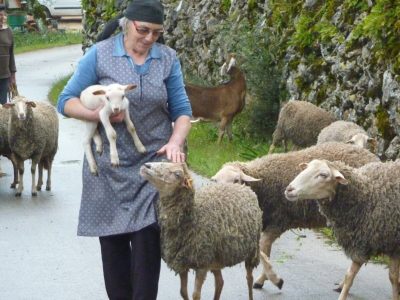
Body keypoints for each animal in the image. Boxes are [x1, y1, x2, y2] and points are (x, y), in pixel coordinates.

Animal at [141, 162, 262, 300]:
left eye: (177, 174)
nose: (146, 166)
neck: (194, 215)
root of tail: (242, 186)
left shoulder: (201, 264)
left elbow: (195, 295)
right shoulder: (182, 261)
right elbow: (183, 291)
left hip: (252, 250)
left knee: (249, 278)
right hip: (215, 257)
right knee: (220, 282)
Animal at [211, 142, 380, 290]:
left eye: (236, 180)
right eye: (215, 181)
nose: (222, 201)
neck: (262, 185)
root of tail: (373, 157)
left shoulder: (277, 222)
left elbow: (264, 251)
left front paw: (268, 280)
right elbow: (264, 251)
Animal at [284, 158, 400, 298]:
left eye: (323, 175)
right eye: (306, 168)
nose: (289, 190)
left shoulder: (387, 245)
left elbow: (391, 278)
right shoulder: (362, 242)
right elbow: (350, 275)